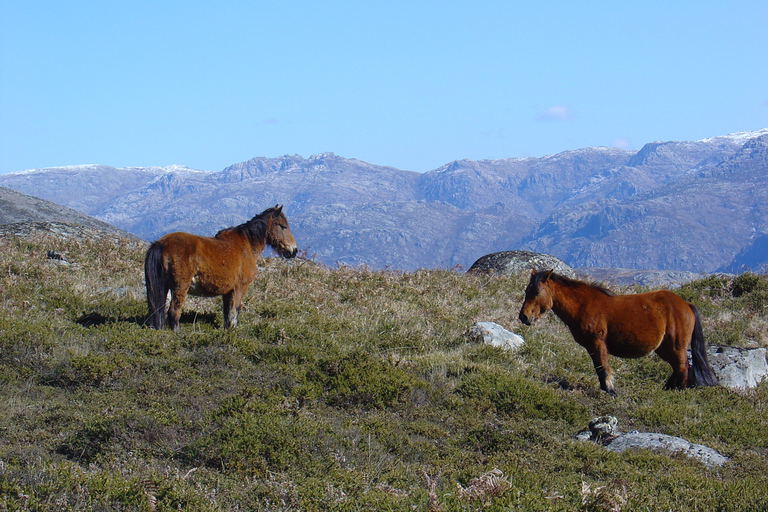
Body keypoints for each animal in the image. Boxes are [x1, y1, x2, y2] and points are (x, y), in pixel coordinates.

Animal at [144, 205, 296, 330]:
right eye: (283, 226)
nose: (293, 251)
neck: (246, 245)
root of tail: (161, 243)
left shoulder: (228, 292)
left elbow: (227, 313)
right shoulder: (240, 287)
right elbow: (235, 311)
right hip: (180, 287)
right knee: (173, 312)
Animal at [520, 270, 716, 394]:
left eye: (536, 291)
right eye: (526, 290)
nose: (524, 317)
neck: (583, 305)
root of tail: (686, 305)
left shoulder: (598, 343)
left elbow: (603, 367)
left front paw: (610, 390)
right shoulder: (591, 347)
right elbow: (598, 368)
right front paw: (605, 389)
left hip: (676, 346)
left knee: (683, 367)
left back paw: (677, 392)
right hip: (664, 348)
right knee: (678, 367)